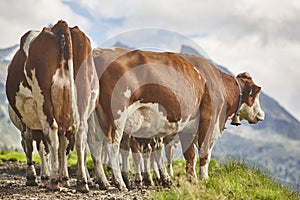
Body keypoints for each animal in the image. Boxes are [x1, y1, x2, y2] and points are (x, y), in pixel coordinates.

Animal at [5, 19, 99, 192]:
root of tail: (59, 25)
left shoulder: (25, 123)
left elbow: (33, 146)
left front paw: (36, 178)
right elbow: (62, 147)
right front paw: (64, 178)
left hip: (43, 97)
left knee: (51, 132)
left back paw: (53, 181)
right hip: (84, 94)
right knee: (80, 134)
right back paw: (81, 182)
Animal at [89, 47, 264, 191]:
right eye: (256, 95)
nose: (261, 115)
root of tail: (98, 52)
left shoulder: (188, 128)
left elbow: (190, 156)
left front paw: (192, 179)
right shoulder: (209, 120)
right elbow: (205, 153)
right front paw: (205, 179)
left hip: (96, 117)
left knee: (95, 145)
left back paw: (104, 181)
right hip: (117, 116)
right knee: (112, 145)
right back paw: (120, 182)